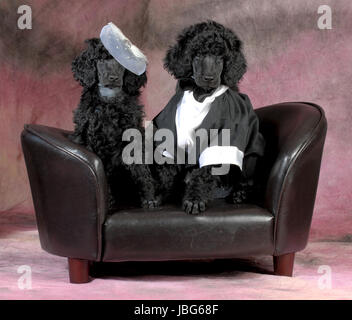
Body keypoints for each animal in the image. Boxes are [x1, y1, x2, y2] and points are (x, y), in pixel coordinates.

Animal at [70, 37, 160, 211]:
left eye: (122, 61)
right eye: (100, 60)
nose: (113, 78)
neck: (109, 102)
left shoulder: (133, 136)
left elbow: (141, 170)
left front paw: (149, 198)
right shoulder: (91, 139)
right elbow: (103, 173)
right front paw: (109, 200)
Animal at [153, 20, 266, 215]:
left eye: (221, 58)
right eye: (197, 55)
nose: (209, 78)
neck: (200, 94)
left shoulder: (221, 137)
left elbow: (203, 173)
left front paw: (195, 198)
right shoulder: (171, 131)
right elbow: (167, 168)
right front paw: (159, 193)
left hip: (250, 158)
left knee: (248, 180)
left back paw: (239, 194)